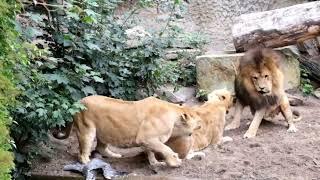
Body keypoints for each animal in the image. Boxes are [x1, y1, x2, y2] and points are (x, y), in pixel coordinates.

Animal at [53, 95, 201, 167]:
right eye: (197, 118)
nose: (201, 125)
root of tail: (77, 101)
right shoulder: (146, 138)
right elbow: (166, 149)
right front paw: (174, 161)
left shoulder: (149, 140)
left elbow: (151, 152)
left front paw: (155, 163)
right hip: (87, 130)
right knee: (83, 152)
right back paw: (88, 163)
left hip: (104, 132)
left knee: (100, 147)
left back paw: (114, 156)